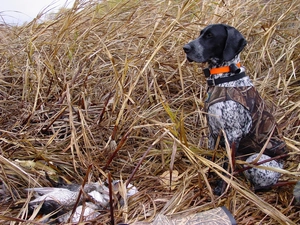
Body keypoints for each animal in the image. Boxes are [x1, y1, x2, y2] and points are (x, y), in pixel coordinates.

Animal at [183, 24, 286, 190]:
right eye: (201, 34)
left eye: (210, 36)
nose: (185, 48)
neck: (224, 77)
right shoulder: (213, 130)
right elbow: (210, 154)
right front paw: (208, 171)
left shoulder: (233, 135)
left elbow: (227, 166)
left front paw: (221, 188)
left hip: (255, 159)